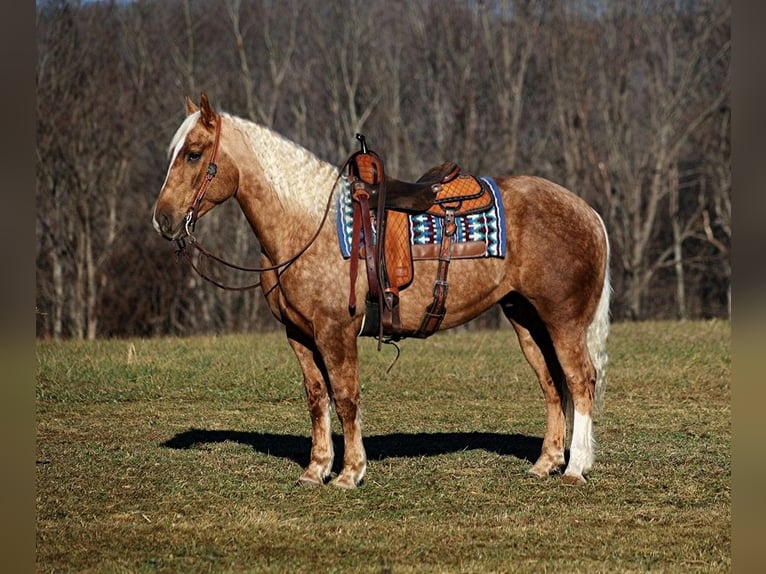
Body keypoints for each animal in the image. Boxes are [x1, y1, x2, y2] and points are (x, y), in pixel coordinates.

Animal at [153, 94, 616, 490]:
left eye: (194, 153)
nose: (163, 219)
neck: (307, 225)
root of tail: (587, 211)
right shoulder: (299, 335)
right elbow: (317, 398)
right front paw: (316, 469)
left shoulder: (335, 331)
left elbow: (346, 398)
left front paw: (349, 472)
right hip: (526, 319)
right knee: (552, 384)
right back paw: (546, 463)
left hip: (563, 320)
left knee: (581, 380)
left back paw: (575, 468)